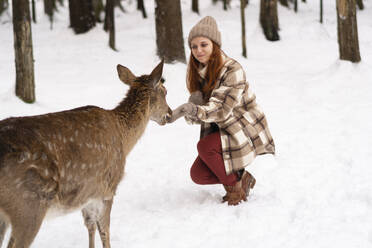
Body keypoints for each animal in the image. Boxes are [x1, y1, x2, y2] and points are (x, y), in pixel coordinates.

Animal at [0, 60, 171, 248]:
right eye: (165, 91)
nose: (169, 114)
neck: (124, 138)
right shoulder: (108, 188)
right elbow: (105, 230)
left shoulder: (88, 194)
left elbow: (90, 226)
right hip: (28, 205)